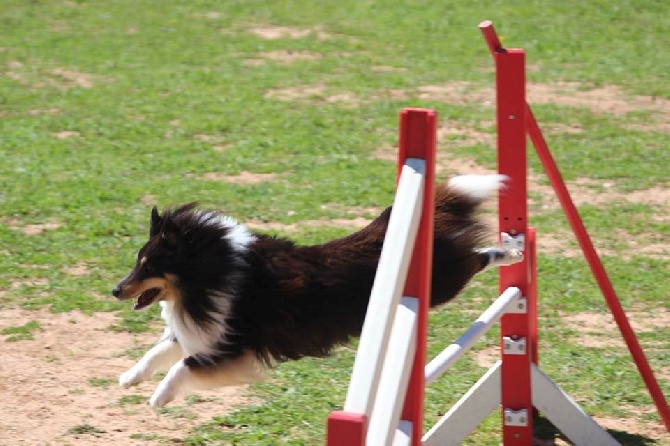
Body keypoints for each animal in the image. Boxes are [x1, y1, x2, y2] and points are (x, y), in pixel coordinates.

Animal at [111, 174, 524, 408]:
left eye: (148, 265)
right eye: (138, 262)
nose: (115, 290)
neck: (212, 272)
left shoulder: (232, 349)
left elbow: (181, 366)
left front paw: (158, 398)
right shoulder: (205, 332)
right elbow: (158, 352)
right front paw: (129, 378)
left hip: (445, 282)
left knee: (478, 256)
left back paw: (510, 250)